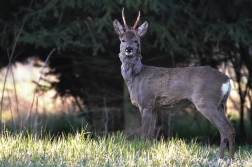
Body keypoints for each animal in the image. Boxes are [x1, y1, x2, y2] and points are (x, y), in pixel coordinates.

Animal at [113, 8, 235, 159]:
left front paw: (142, 153)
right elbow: (151, 136)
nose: (128, 49)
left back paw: (221, 158)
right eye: (122, 40)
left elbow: (145, 134)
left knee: (224, 129)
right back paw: (230, 158)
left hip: (206, 102)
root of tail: (227, 80)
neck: (136, 78)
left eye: (136, 41)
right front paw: (149, 153)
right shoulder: (154, 107)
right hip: (221, 104)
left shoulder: (146, 103)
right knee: (231, 129)